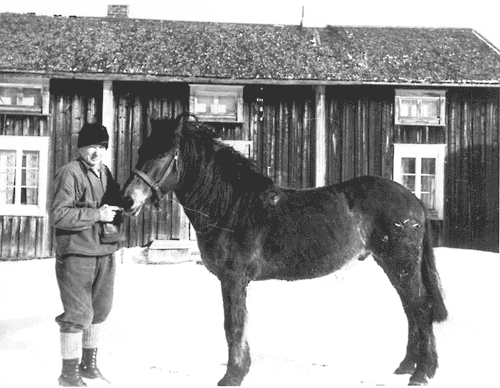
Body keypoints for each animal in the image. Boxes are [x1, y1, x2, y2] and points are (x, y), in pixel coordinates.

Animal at [122, 112, 450, 384]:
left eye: (163, 154)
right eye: (141, 150)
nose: (127, 199)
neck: (231, 207)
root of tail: (413, 198)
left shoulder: (234, 279)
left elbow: (233, 325)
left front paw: (232, 376)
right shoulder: (234, 281)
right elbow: (239, 324)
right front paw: (242, 368)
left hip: (401, 264)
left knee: (421, 307)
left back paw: (422, 373)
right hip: (393, 265)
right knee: (410, 309)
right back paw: (407, 366)